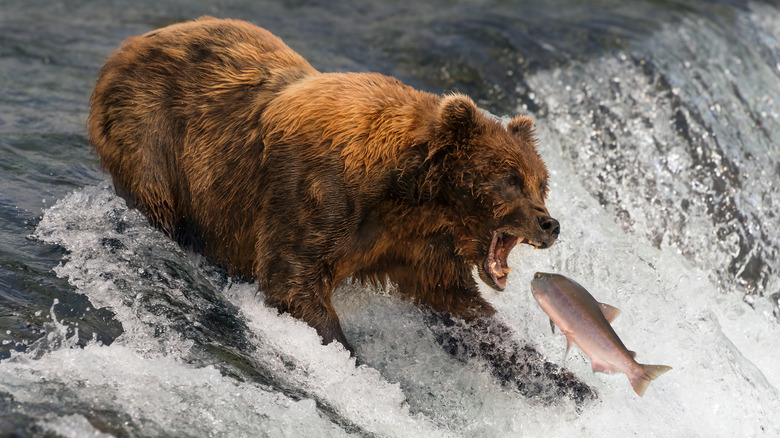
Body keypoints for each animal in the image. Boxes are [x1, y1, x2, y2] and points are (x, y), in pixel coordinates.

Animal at [88, 17, 591, 401]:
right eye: (510, 179)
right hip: (154, 136)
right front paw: (351, 360)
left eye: (541, 182)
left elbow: (460, 309)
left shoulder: (417, 246)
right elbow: (294, 280)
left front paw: (567, 382)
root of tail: (128, 46)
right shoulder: (318, 195)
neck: (410, 194)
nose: (549, 223)